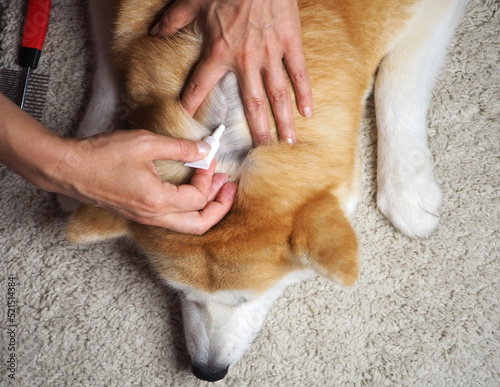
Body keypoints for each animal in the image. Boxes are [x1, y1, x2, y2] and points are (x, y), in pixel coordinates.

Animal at [66, 0, 468, 382]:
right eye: (178, 291)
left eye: (244, 300)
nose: (207, 372)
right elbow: (107, 68)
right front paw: (94, 155)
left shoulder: (432, 12)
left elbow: (397, 83)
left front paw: (408, 188)